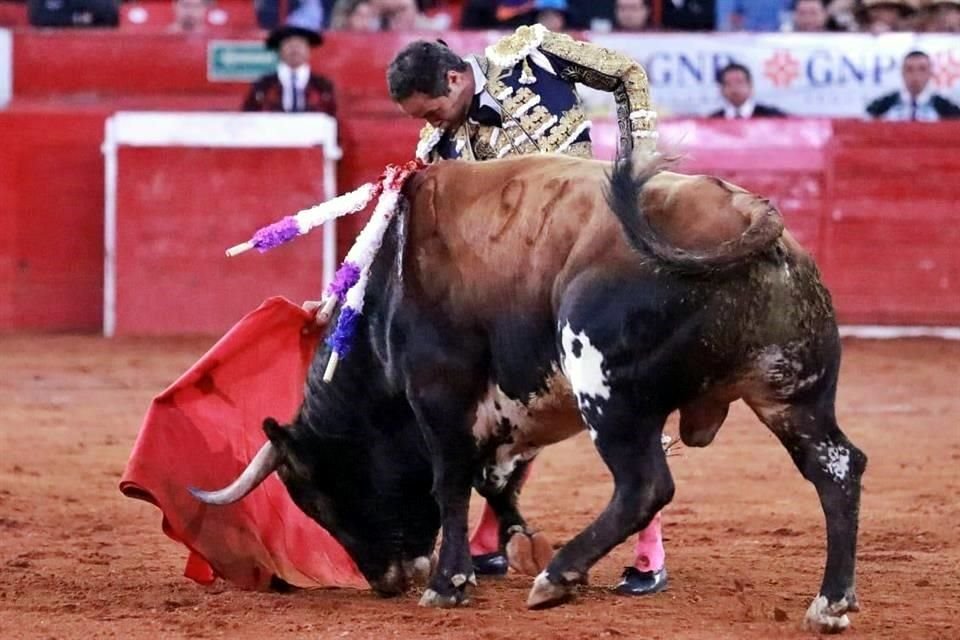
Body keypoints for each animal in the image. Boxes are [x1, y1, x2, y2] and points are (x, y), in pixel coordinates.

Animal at [191, 152, 868, 632]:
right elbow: (496, 478)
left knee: (644, 484)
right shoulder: (505, 411)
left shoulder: (437, 391)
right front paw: (513, 545)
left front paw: (450, 583)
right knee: (837, 469)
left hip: (606, 387)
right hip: (789, 391)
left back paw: (559, 576)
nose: (385, 581)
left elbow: (450, 480)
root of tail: (745, 211)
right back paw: (830, 603)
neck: (385, 301)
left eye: (317, 497)